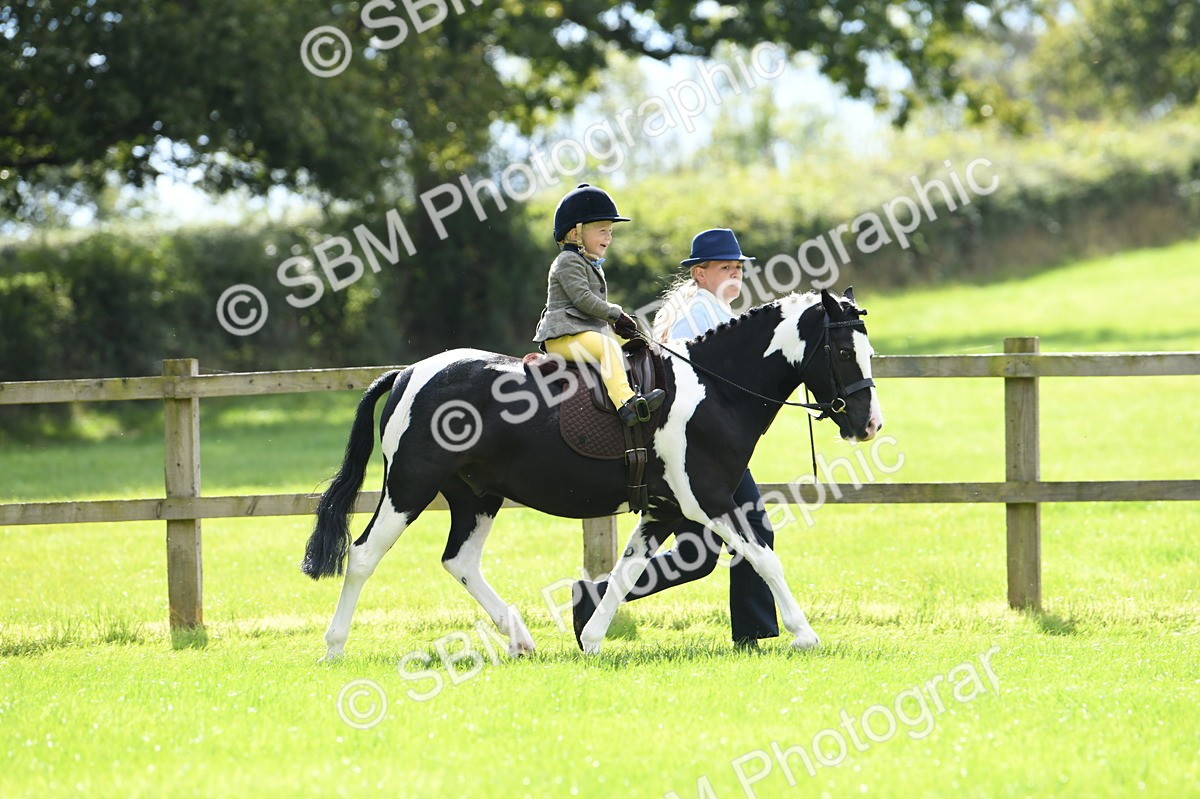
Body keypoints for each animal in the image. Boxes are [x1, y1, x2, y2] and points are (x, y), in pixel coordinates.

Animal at [301, 288, 882, 659]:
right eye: (841, 350)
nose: (869, 424)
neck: (713, 389)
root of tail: (408, 373)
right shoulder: (708, 501)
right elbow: (764, 559)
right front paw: (805, 635)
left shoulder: (664, 510)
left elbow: (626, 573)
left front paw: (593, 638)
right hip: (409, 488)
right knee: (363, 556)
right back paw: (334, 647)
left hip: (476, 496)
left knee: (459, 561)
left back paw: (520, 640)